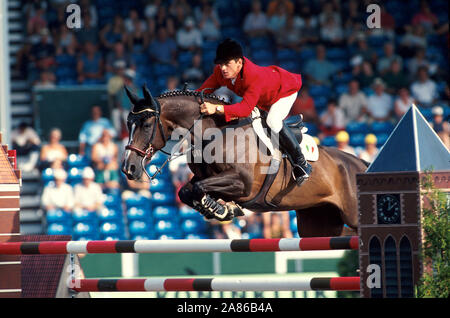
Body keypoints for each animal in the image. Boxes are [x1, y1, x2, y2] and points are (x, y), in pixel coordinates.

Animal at [121, 85, 368, 237]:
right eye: (127, 124)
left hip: (350, 214)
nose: (128, 168)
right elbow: (187, 190)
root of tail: (362, 165)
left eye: (146, 125)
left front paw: (219, 209)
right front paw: (220, 209)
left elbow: (198, 188)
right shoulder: (207, 179)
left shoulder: (243, 183)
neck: (215, 133)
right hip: (318, 222)